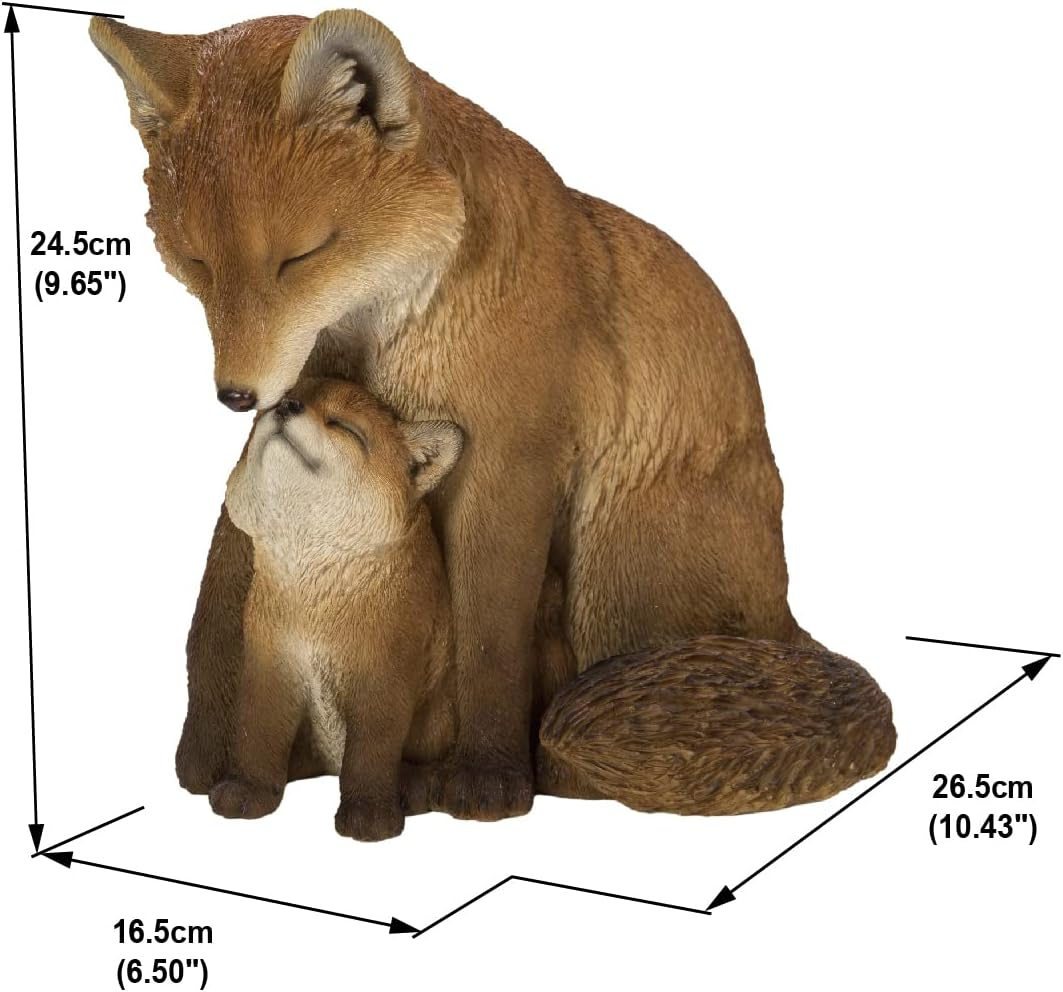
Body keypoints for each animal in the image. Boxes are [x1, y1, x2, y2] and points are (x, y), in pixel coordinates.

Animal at [90, 9, 892, 821]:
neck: (391, 337)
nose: (236, 394)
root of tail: (784, 611)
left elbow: (487, 638)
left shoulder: (509, 458)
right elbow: (221, 600)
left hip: (613, 562)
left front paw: (485, 778)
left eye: (300, 257)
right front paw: (222, 762)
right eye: (194, 264)